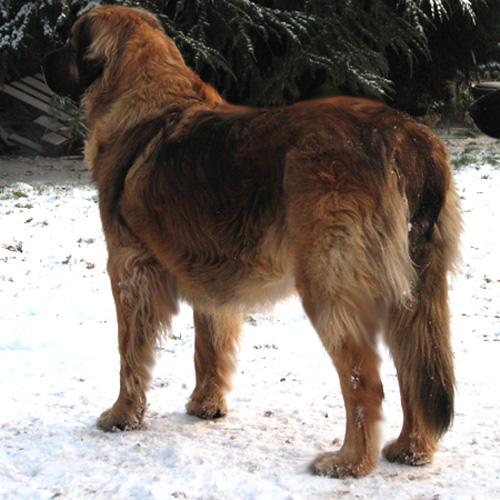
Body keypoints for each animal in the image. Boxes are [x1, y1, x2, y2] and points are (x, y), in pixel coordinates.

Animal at [43, 4, 460, 480]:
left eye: (70, 40)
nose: (43, 60)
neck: (153, 104)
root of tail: (405, 137)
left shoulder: (129, 269)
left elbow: (130, 354)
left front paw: (121, 416)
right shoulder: (207, 271)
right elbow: (210, 345)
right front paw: (205, 405)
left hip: (328, 285)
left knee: (365, 383)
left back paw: (349, 462)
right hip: (416, 288)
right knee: (415, 369)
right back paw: (411, 449)